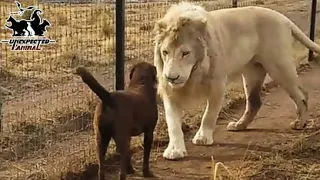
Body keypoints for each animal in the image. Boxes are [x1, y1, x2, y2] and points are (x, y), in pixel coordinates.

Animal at [152, 2, 320, 160]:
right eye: (165, 52)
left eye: (185, 53)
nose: (171, 77)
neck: (194, 73)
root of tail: (283, 18)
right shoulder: (169, 92)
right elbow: (172, 122)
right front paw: (174, 150)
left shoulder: (217, 85)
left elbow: (209, 115)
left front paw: (203, 137)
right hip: (252, 72)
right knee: (254, 102)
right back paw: (239, 125)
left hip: (279, 66)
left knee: (302, 95)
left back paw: (300, 123)